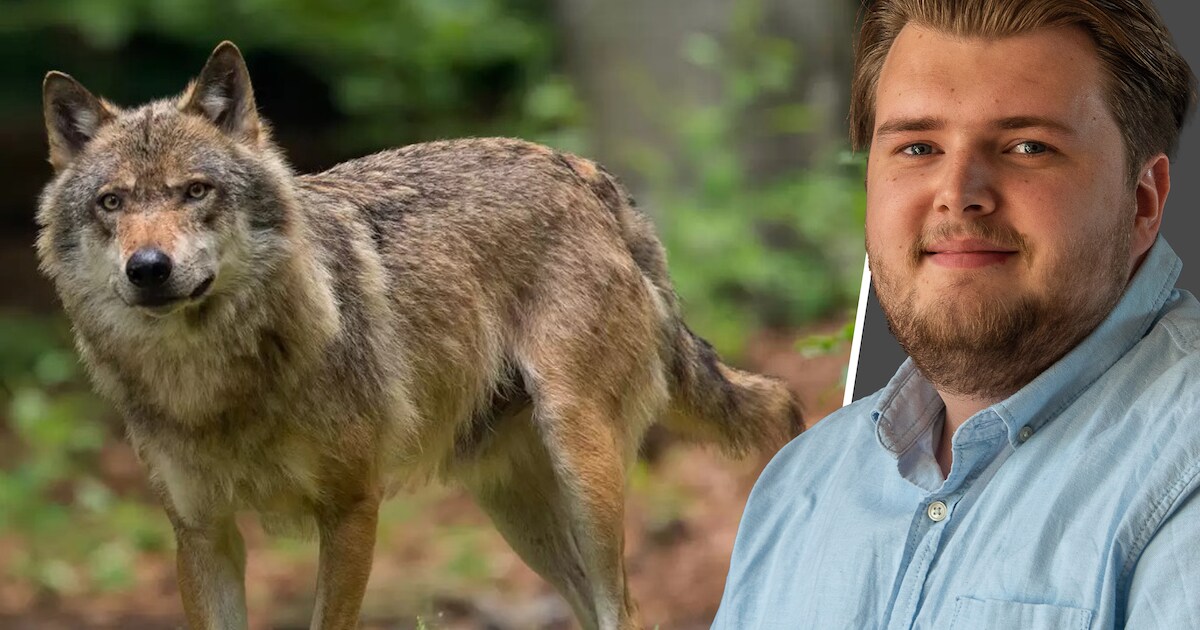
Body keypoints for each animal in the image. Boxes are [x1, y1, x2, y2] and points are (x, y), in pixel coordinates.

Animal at [36, 41, 802, 630]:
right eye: (112, 203)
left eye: (196, 191)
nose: (148, 269)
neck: (212, 384)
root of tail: (587, 174)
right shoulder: (201, 535)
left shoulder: (351, 510)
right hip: (515, 510)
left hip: (582, 466)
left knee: (627, 610)